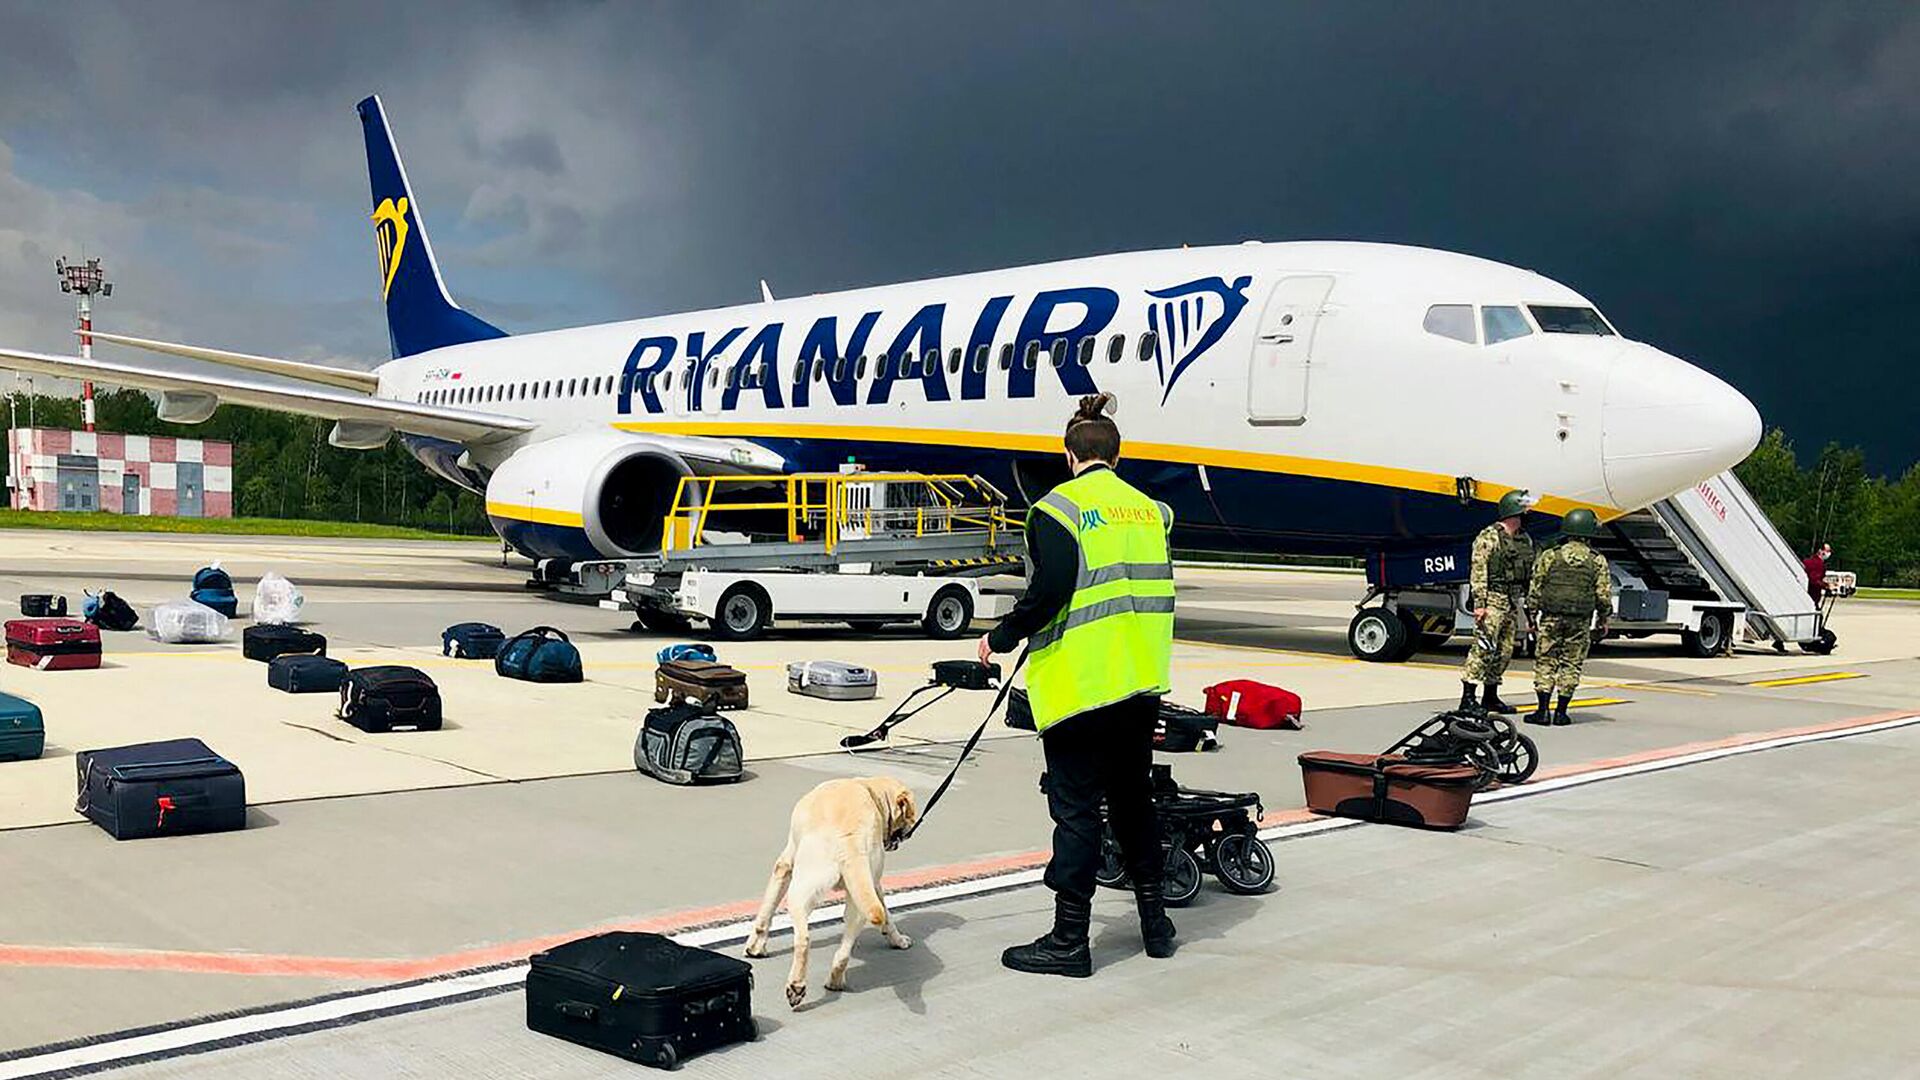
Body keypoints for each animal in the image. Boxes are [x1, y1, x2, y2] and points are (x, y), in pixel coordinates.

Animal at [744, 772, 917, 999]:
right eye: (908, 816)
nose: (911, 830)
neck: (869, 789)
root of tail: (850, 839)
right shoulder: (874, 885)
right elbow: (887, 916)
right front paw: (897, 940)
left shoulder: (784, 866)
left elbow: (765, 913)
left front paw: (754, 948)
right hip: (858, 906)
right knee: (844, 952)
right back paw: (835, 981)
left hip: (799, 892)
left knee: (803, 939)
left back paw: (796, 985)